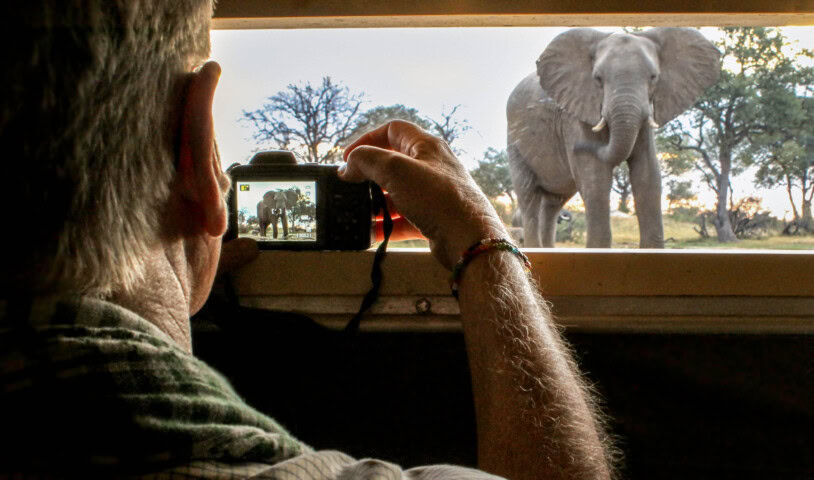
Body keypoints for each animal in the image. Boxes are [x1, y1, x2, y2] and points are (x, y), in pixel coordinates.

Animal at [507, 28, 720, 248]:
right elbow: (596, 180)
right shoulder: (577, 114)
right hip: (514, 140)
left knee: (554, 202)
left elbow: (648, 175)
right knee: (528, 195)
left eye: (653, 77)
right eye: (598, 78)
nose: (579, 147)